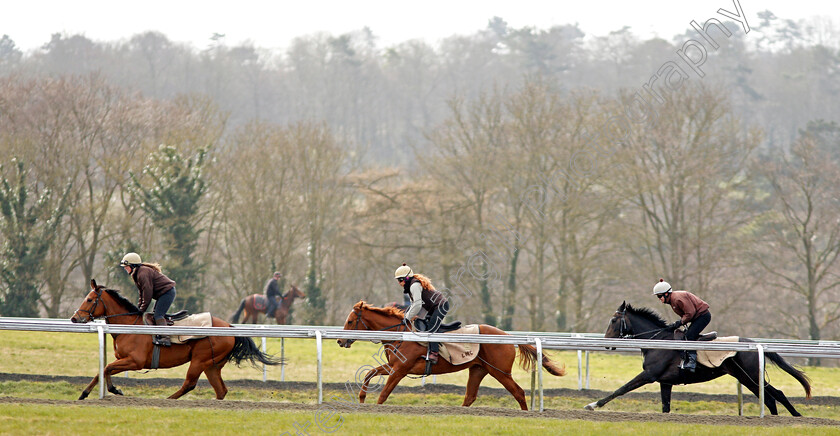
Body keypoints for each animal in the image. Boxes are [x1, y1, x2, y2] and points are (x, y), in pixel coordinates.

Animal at [69, 282, 278, 400]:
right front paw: (84, 393)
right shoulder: (124, 359)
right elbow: (102, 370)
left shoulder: (135, 361)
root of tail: (229, 327)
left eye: (89, 299)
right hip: (212, 364)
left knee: (190, 384)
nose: (74, 318)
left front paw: (113, 389)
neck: (129, 326)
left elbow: (106, 368)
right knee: (221, 390)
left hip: (200, 360)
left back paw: (169, 399)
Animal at [334, 302, 564, 410]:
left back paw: (526, 414)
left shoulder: (400, 370)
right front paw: (361, 398)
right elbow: (369, 374)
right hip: (478, 369)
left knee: (518, 392)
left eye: (351, 320)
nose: (340, 341)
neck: (401, 334)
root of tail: (508, 337)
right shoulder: (394, 366)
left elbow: (384, 394)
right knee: (470, 396)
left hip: (500, 371)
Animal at [580, 302, 812, 414]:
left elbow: (620, 389)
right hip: (745, 378)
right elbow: (665, 407)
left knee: (777, 394)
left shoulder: (649, 374)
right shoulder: (665, 382)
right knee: (770, 398)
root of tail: (755, 344)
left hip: (750, 376)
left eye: (612, 320)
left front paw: (592, 405)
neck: (659, 340)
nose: (605, 342)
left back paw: (798, 418)